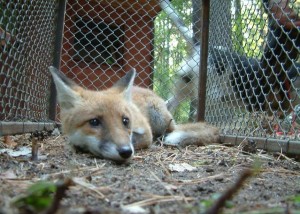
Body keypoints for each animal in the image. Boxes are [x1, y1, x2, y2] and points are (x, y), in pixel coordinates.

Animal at [48, 66, 218, 161]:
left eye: (125, 121)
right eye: (94, 122)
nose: (126, 152)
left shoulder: (146, 132)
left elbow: (137, 140)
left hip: (159, 117)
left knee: (169, 131)